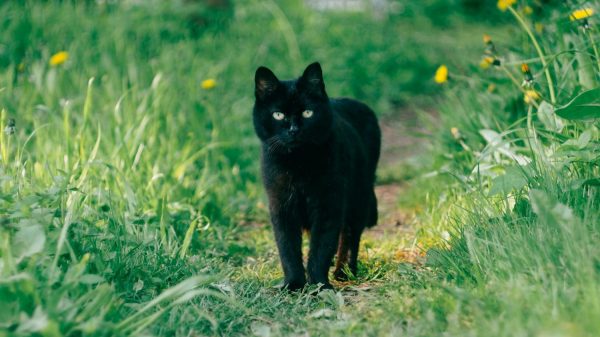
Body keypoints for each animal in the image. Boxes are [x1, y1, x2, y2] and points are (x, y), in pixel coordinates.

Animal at [253, 62, 380, 288]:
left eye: (307, 113)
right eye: (278, 115)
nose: (294, 130)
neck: (298, 164)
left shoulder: (328, 204)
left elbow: (321, 247)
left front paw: (319, 285)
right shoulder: (281, 205)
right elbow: (288, 248)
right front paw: (293, 284)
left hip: (359, 196)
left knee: (350, 236)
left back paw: (344, 271)